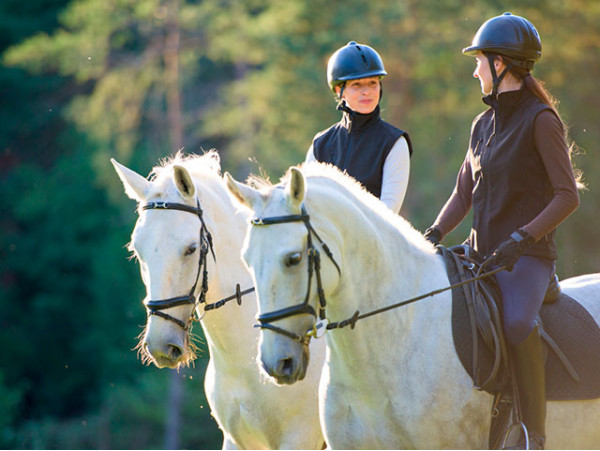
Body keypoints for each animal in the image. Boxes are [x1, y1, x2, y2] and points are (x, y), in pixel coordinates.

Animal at [112, 154, 328, 450]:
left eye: (191, 249)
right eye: (137, 250)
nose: (159, 346)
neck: (243, 362)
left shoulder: (299, 439)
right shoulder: (234, 440)